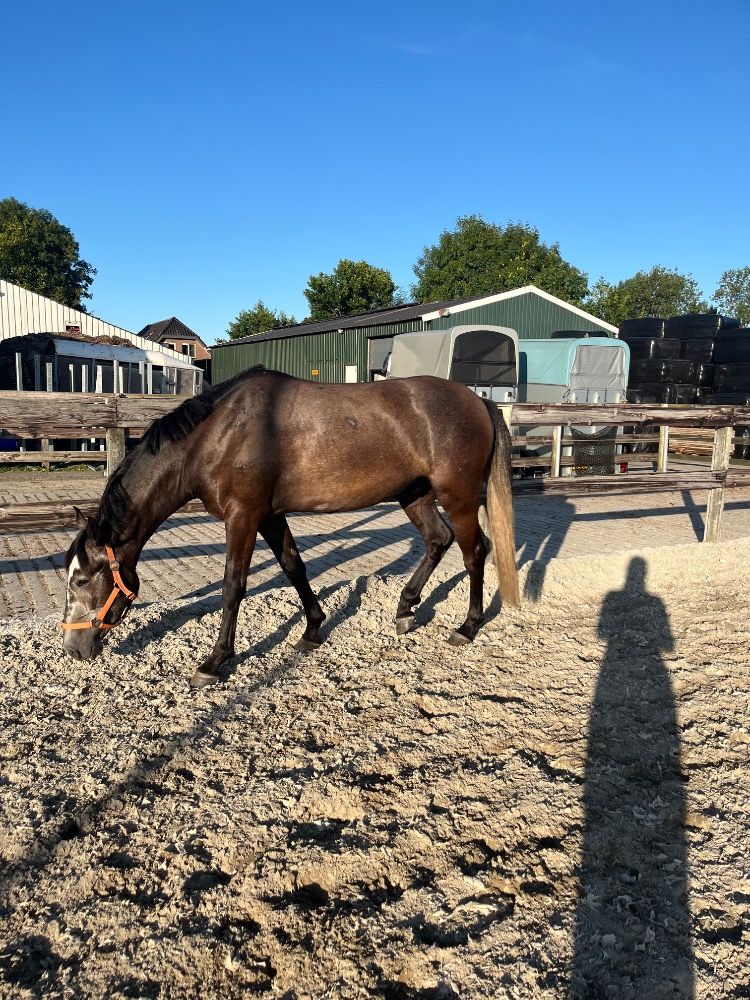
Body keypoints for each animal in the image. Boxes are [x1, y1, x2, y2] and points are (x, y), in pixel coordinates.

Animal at [62, 368, 519, 687]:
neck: (221, 434)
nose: (73, 649)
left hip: (458, 496)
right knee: (437, 540)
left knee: (475, 552)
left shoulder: (243, 516)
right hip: (415, 494)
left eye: (81, 581)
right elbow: (293, 567)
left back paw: (468, 626)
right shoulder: (269, 515)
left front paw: (215, 661)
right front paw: (313, 629)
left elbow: (233, 586)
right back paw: (405, 610)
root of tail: (478, 401)